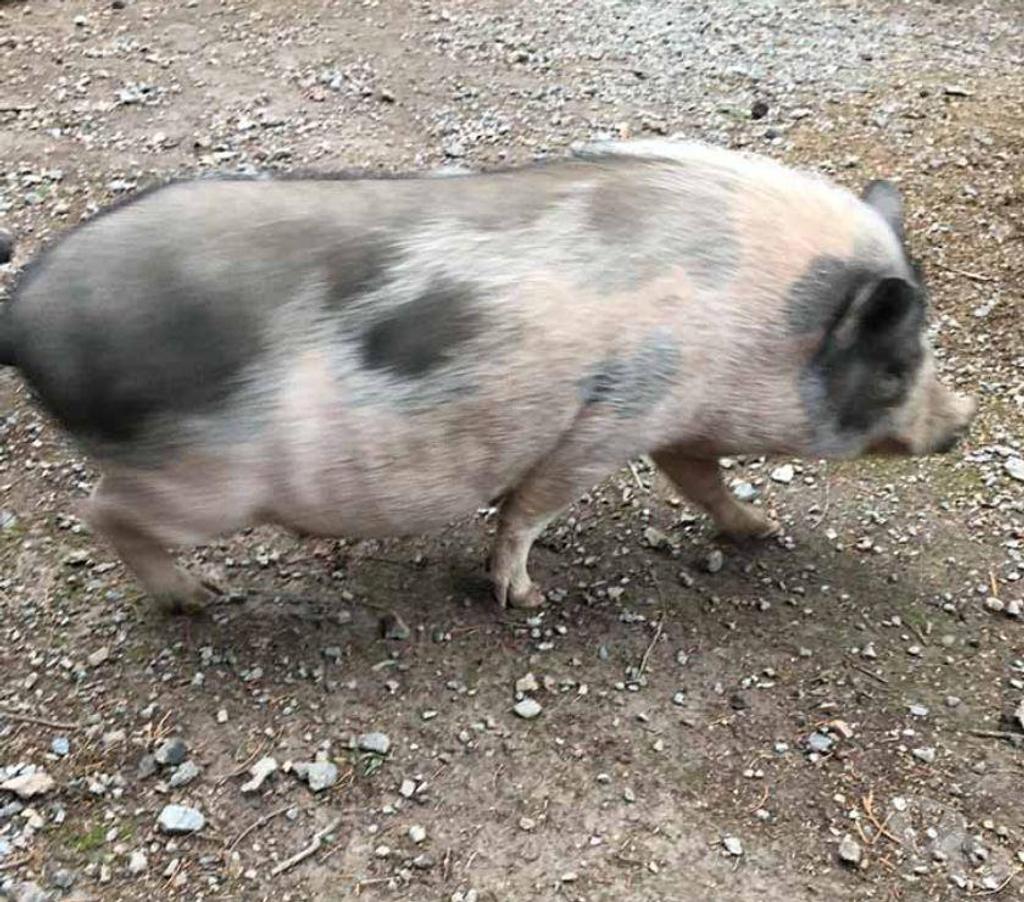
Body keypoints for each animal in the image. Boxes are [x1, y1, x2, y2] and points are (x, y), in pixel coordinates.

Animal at [0, 139, 975, 612]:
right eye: (896, 362)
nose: (963, 420)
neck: (765, 318)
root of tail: (25, 312)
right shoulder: (616, 414)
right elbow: (536, 503)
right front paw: (526, 599)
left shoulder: (675, 415)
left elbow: (701, 477)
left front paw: (763, 530)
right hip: (201, 480)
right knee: (101, 511)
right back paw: (203, 600)